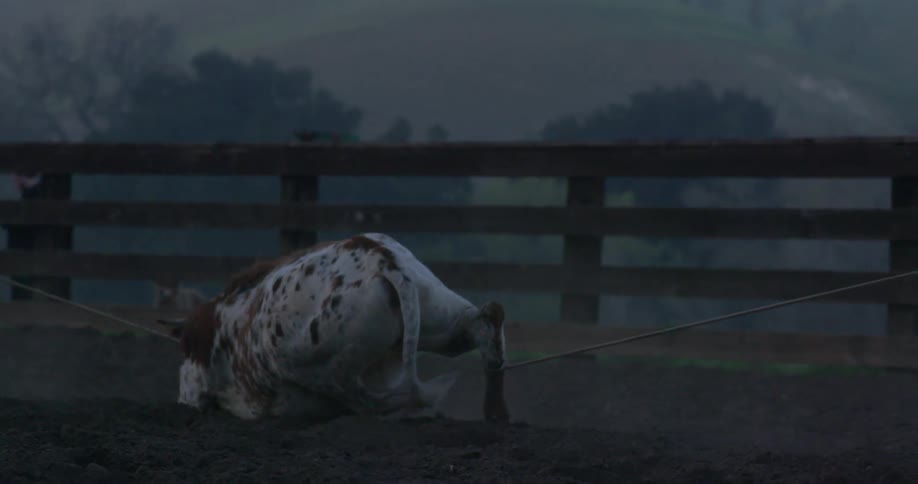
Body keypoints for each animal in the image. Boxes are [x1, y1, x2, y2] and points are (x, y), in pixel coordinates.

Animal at [157, 233, 509, 422]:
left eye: (185, 349)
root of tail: (385, 264)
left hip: (323, 366)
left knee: (369, 399)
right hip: (437, 309)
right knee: (481, 322)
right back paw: (494, 409)